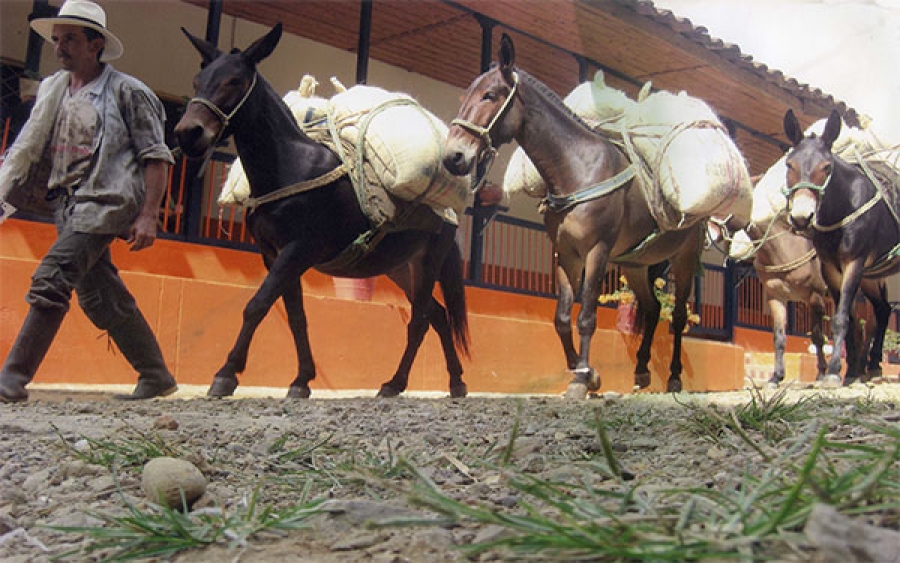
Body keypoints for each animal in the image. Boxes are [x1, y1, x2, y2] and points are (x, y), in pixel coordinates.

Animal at [174, 24, 470, 399]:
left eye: (235, 80)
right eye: (198, 80)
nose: (187, 133)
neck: (291, 167)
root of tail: (450, 215)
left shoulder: (298, 249)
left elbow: (257, 305)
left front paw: (226, 373)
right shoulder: (274, 255)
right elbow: (295, 316)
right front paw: (301, 379)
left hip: (428, 262)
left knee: (419, 320)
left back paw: (397, 383)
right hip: (401, 268)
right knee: (438, 316)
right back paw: (452, 382)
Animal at [443, 33, 715, 396]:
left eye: (490, 95)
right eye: (464, 96)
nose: (453, 157)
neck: (579, 169)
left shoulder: (596, 251)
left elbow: (586, 316)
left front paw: (581, 378)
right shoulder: (566, 253)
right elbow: (561, 318)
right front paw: (587, 371)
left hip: (684, 259)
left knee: (680, 316)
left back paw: (673, 377)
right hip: (636, 264)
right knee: (653, 308)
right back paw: (642, 371)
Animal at [783, 108, 894, 386]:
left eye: (826, 167)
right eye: (789, 165)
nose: (801, 218)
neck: (843, 209)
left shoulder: (854, 262)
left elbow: (843, 317)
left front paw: (833, 371)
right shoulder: (831, 268)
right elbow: (849, 319)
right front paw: (851, 370)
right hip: (872, 276)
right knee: (883, 310)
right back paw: (873, 365)